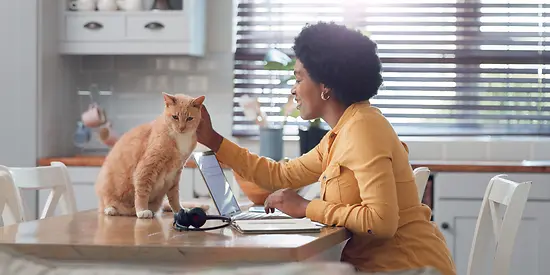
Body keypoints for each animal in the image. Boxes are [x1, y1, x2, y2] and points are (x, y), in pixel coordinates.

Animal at [95, 92, 207, 220]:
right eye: (175, 117)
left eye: (189, 118)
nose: (181, 128)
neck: (179, 137)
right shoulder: (147, 166)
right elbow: (142, 191)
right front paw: (142, 210)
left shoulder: (176, 172)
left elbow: (174, 196)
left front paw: (180, 210)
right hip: (106, 184)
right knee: (106, 203)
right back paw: (111, 209)